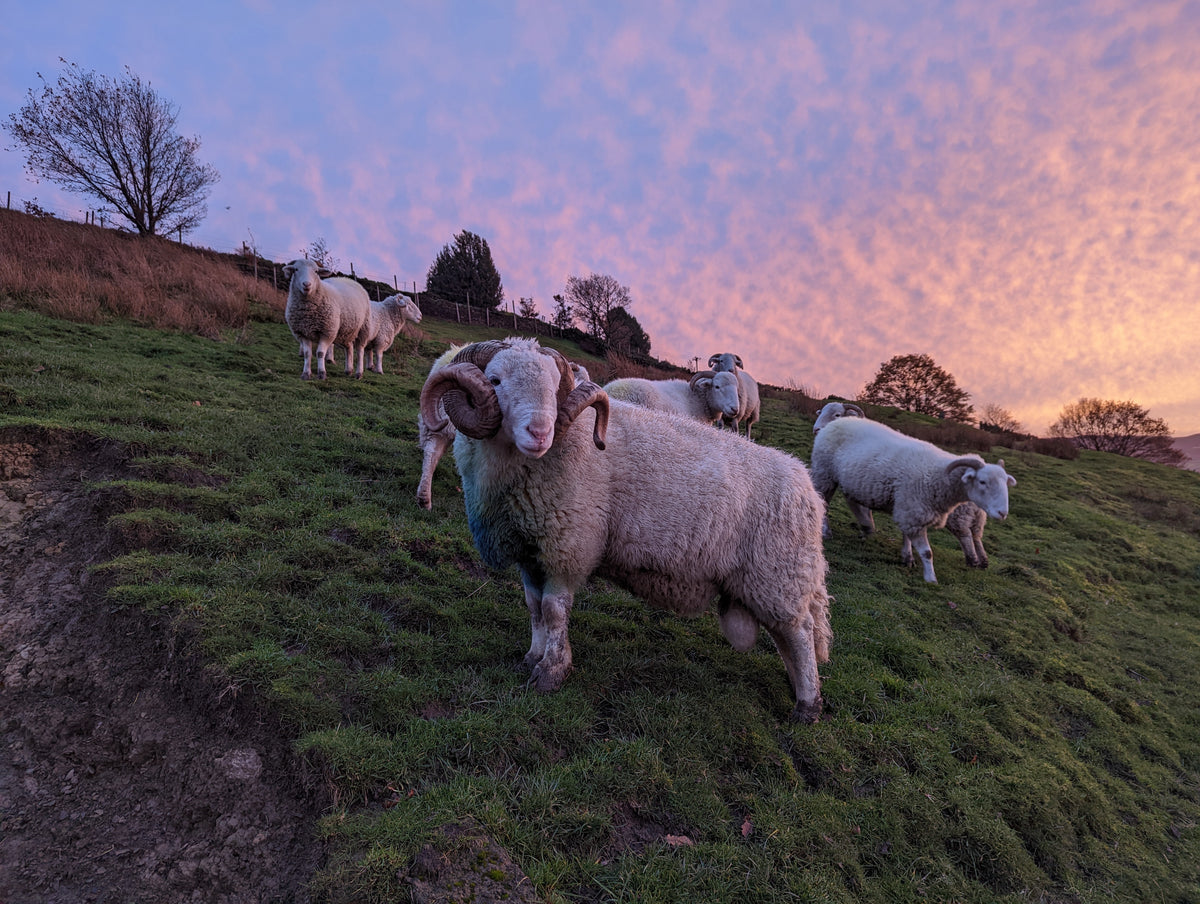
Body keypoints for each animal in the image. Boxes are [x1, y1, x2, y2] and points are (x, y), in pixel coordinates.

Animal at [809, 416, 1014, 583]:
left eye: (1005, 483)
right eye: (982, 481)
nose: (1003, 513)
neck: (936, 476)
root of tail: (836, 421)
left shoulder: (909, 510)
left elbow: (907, 537)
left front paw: (907, 557)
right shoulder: (914, 511)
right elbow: (927, 552)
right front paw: (930, 578)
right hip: (824, 473)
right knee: (823, 503)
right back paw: (826, 532)